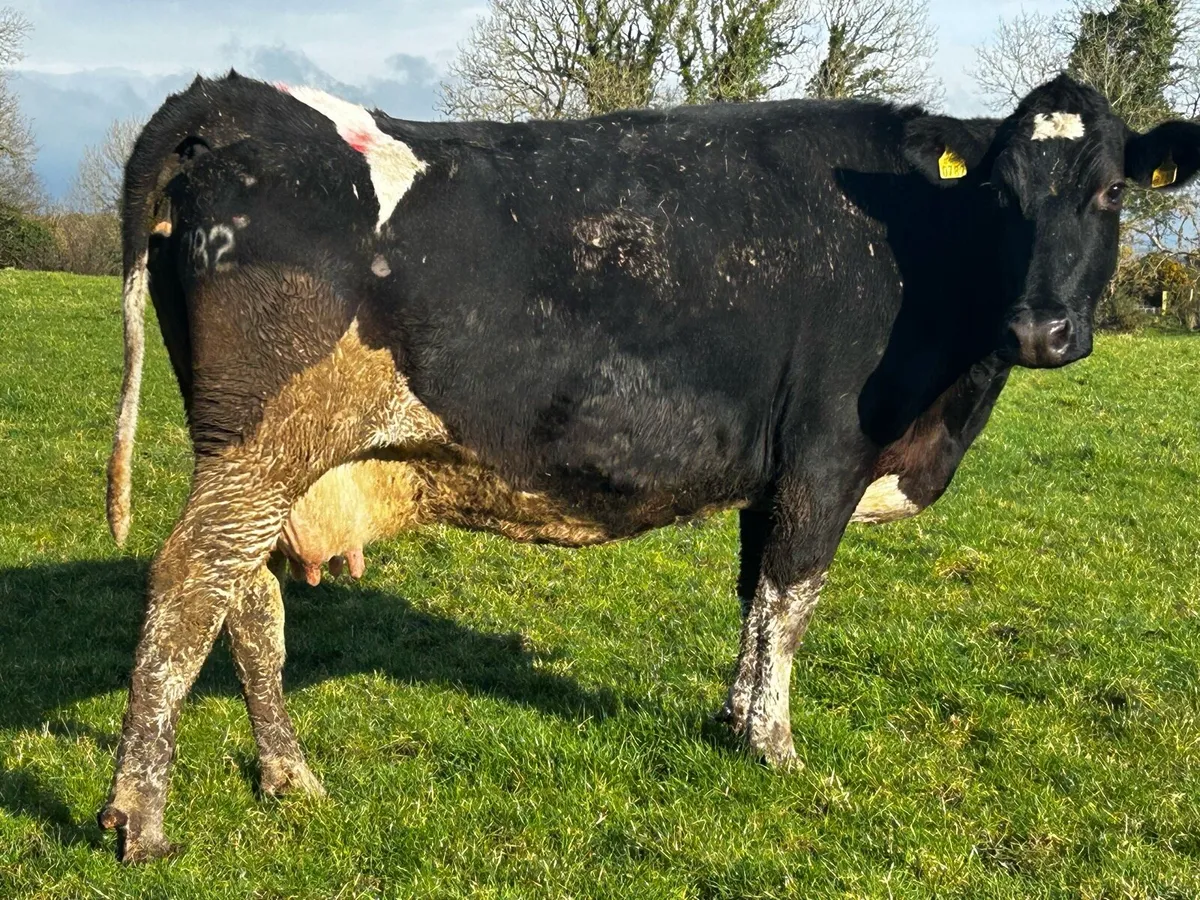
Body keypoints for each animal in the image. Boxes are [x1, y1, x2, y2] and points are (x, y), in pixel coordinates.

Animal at [97, 70, 1200, 861]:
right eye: (1003, 196)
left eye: (1108, 190)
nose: (1040, 329)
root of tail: (236, 99)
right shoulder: (824, 459)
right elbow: (791, 605)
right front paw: (777, 751)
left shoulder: (771, 473)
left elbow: (755, 601)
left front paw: (732, 723)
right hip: (262, 443)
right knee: (188, 586)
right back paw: (138, 820)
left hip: (256, 454)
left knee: (247, 602)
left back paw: (289, 777)